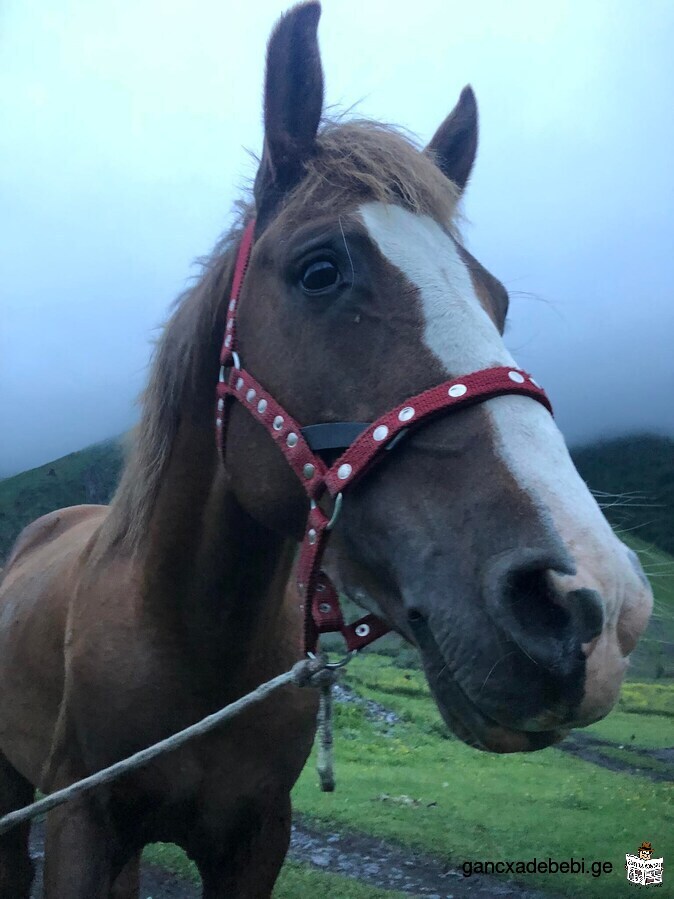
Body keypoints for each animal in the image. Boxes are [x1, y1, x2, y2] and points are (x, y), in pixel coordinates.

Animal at [0, 1, 652, 899]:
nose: (597, 601)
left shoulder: (255, 839)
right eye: (319, 270)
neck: (190, 640)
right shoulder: (80, 822)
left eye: (498, 299)